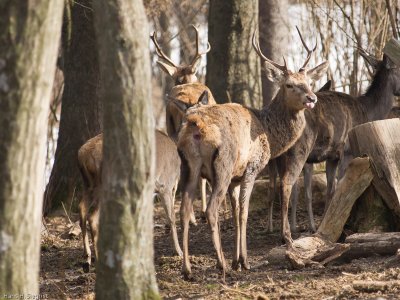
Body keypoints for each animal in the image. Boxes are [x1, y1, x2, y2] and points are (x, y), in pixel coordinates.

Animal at [77, 129, 183, 272]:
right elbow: (172, 218)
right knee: (92, 216)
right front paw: (178, 251)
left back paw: (87, 259)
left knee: (81, 208)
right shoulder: (164, 185)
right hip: (105, 184)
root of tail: (83, 155)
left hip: (88, 184)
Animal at [176, 28, 328, 278]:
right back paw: (221, 264)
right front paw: (244, 261)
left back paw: (188, 269)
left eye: (309, 82)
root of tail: (194, 126)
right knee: (210, 210)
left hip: (188, 166)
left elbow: (236, 212)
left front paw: (238, 259)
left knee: (184, 208)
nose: (311, 98)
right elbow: (244, 212)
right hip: (222, 165)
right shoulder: (251, 167)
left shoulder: (235, 179)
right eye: (289, 84)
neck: (268, 132)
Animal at [266, 49, 400, 241]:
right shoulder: (347, 151)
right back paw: (286, 235)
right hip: (299, 151)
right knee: (287, 183)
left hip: (281, 156)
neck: (368, 112)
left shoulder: (332, 156)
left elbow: (330, 190)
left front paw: (324, 225)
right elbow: (341, 187)